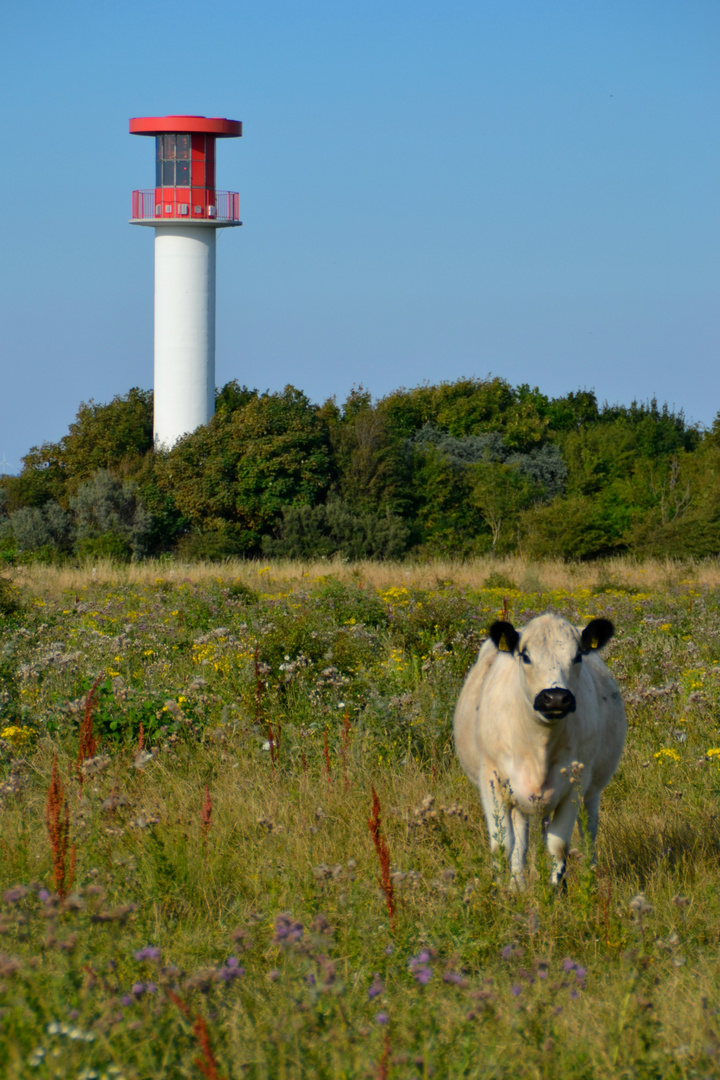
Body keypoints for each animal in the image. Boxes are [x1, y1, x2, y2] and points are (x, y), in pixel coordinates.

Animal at [455, 613, 626, 889]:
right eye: (525, 656)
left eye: (578, 655)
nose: (555, 697)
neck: (539, 746)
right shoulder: (491, 780)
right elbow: (502, 846)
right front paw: (498, 891)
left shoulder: (575, 785)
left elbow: (558, 845)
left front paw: (557, 891)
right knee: (520, 841)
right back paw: (517, 884)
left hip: (591, 790)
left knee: (588, 831)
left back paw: (591, 877)